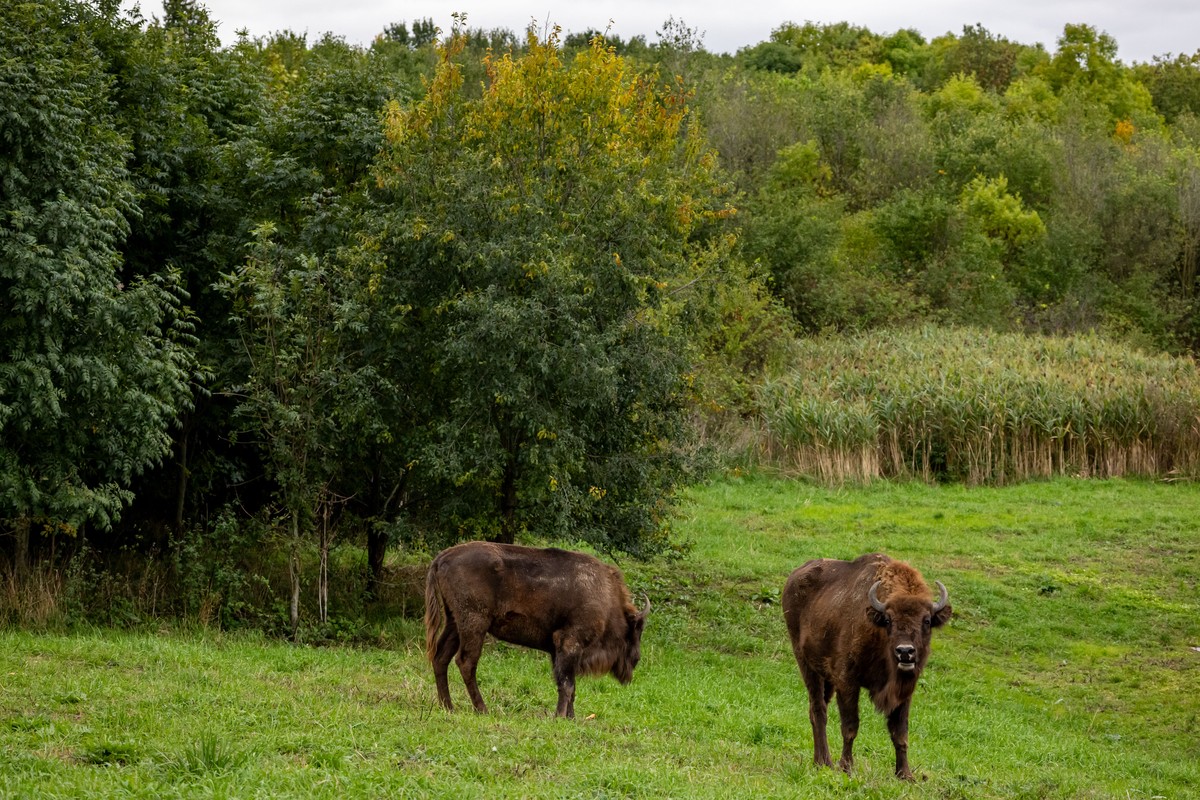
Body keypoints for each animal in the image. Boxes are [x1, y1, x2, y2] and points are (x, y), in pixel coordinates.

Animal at [424, 541, 650, 718]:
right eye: (635, 632)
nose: (636, 660)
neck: (607, 597)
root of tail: (443, 557)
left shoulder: (558, 650)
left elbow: (567, 684)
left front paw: (570, 718)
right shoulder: (569, 643)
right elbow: (567, 684)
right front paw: (560, 716)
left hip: (453, 622)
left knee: (441, 658)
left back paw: (448, 707)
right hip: (474, 624)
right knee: (466, 662)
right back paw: (482, 709)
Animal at [782, 553, 951, 780]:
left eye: (926, 620)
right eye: (888, 620)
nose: (905, 651)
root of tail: (794, 577)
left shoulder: (904, 692)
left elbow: (900, 733)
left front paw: (905, 775)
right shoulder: (847, 683)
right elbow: (850, 727)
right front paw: (846, 768)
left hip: (826, 678)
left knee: (815, 709)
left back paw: (820, 761)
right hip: (807, 666)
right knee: (819, 710)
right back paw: (825, 762)